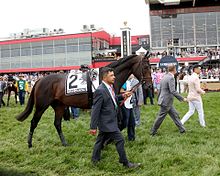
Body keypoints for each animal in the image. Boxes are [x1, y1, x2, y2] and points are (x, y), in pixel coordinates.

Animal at [16, 53, 152, 148]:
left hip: (59, 106)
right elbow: (118, 124)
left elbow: (120, 123)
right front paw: (106, 140)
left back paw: (64, 143)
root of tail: (39, 80)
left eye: (151, 67)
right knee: (34, 122)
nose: (149, 85)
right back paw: (29, 143)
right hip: (41, 105)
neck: (110, 77)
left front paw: (107, 140)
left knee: (57, 123)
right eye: (145, 67)